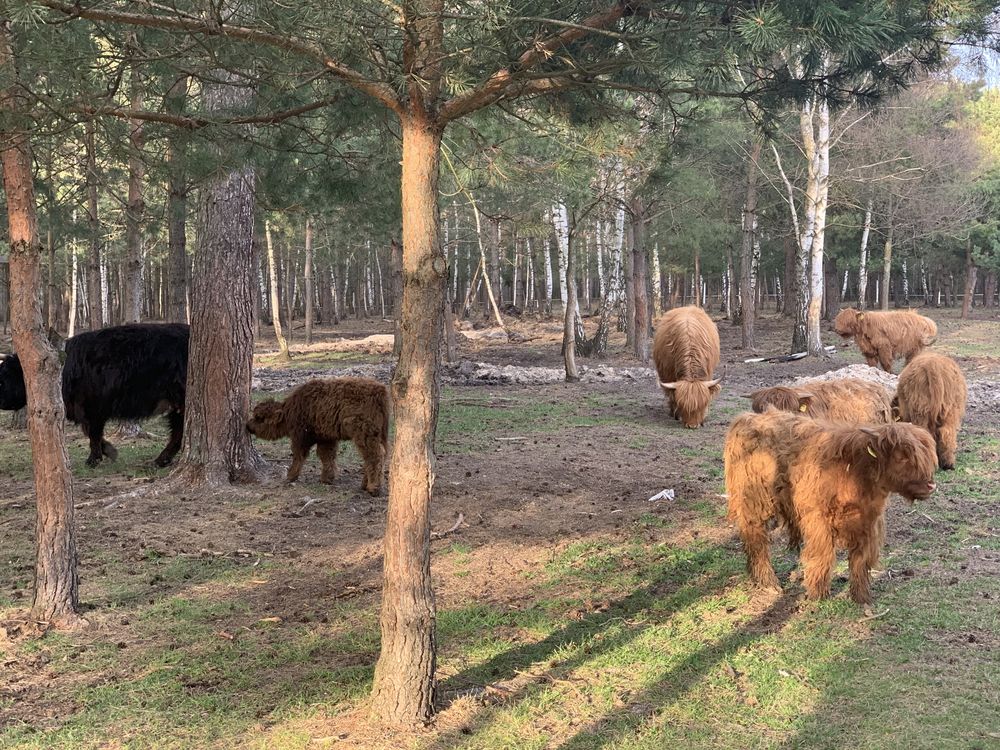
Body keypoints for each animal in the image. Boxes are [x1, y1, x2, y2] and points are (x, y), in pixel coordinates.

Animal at [0, 324, 189, 468]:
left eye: (5, 377)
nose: (0, 400)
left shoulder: (93, 408)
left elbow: (93, 434)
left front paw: (94, 459)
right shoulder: (86, 410)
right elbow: (90, 432)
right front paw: (110, 451)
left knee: (178, 432)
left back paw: (159, 460)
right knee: (178, 432)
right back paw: (160, 460)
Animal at [247, 378, 390, 496]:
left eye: (259, 418)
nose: (248, 425)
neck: (290, 411)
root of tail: (380, 390)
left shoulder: (301, 437)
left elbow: (299, 455)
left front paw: (290, 476)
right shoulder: (326, 438)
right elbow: (326, 456)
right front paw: (326, 478)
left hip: (364, 433)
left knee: (375, 456)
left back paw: (373, 488)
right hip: (379, 435)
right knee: (374, 456)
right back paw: (364, 485)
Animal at [728, 414, 936, 608]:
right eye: (902, 456)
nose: (931, 485)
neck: (855, 473)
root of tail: (746, 418)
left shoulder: (868, 524)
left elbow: (860, 562)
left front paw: (861, 598)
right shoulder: (818, 522)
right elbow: (823, 557)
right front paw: (818, 596)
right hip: (754, 502)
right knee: (756, 540)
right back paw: (768, 583)